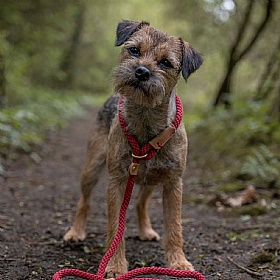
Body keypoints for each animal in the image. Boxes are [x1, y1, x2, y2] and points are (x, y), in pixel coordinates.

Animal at [64, 20, 202, 278]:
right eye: (134, 50)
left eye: (166, 62)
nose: (141, 71)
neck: (146, 122)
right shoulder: (117, 181)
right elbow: (115, 229)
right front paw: (115, 266)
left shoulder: (174, 184)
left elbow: (175, 227)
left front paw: (178, 263)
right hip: (92, 167)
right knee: (84, 201)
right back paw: (75, 232)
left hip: (151, 179)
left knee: (140, 202)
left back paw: (146, 230)